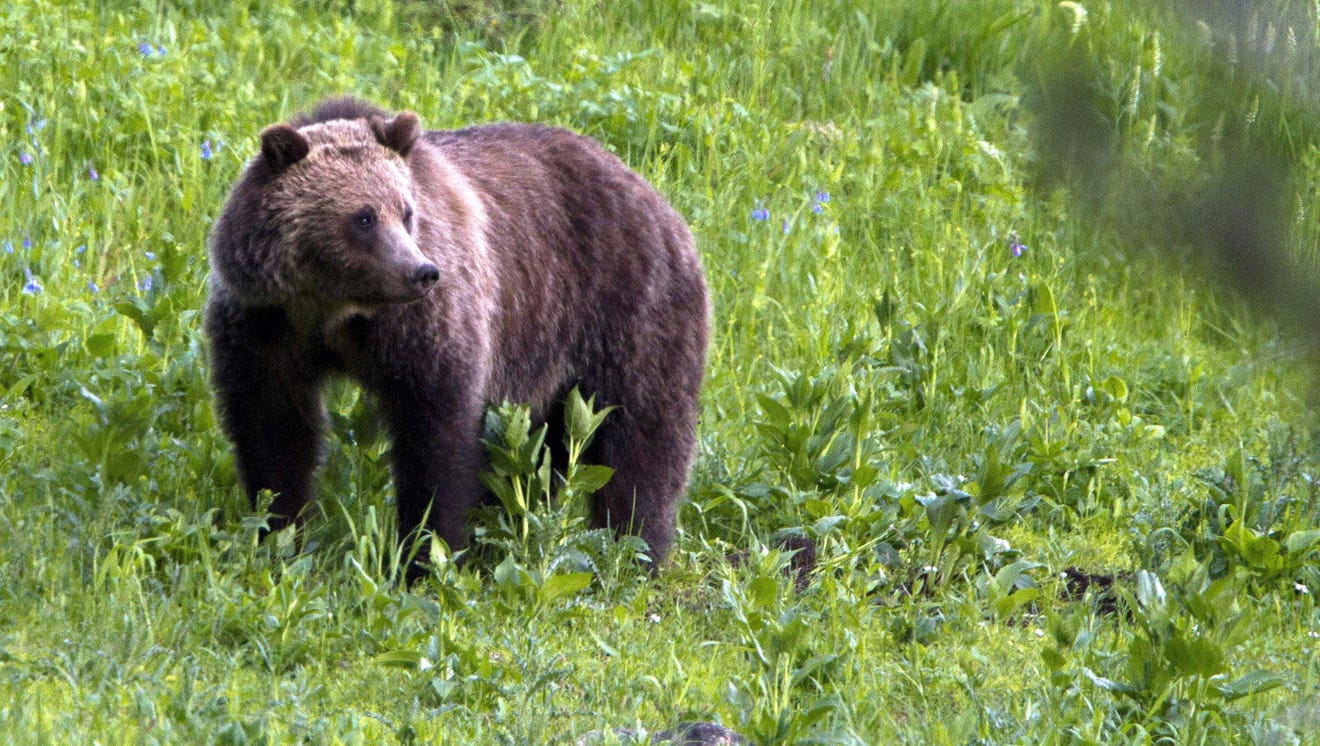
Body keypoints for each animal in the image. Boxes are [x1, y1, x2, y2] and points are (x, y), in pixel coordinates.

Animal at [205, 97, 708, 577]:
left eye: (406, 212)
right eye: (363, 218)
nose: (421, 271)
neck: (334, 310)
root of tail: (654, 194)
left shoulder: (425, 329)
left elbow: (436, 437)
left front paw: (426, 555)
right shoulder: (266, 326)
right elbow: (274, 429)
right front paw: (279, 533)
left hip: (626, 310)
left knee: (642, 437)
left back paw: (636, 550)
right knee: (543, 450)